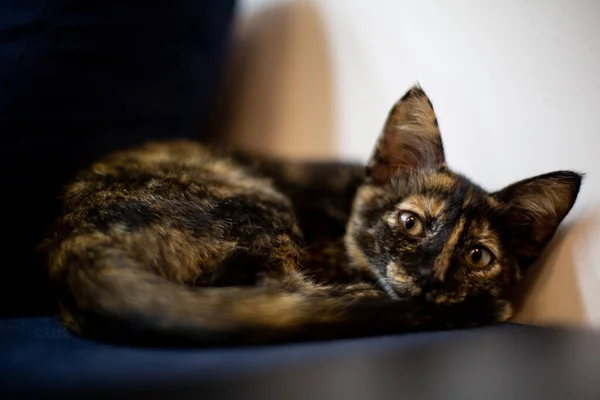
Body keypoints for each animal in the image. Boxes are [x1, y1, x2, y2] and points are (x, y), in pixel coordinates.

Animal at [43, 85, 584, 346]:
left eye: (477, 256)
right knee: (272, 293)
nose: (429, 278)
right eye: (410, 222)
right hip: (260, 206)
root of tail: (75, 239)